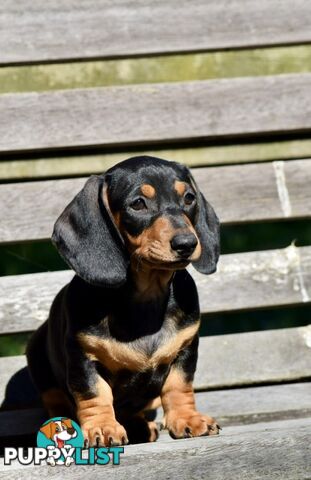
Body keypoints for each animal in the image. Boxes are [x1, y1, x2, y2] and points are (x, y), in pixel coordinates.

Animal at [27, 157, 222, 446]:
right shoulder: (83, 358)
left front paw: (188, 419)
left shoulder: (186, 348)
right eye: (138, 203)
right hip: (38, 360)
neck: (147, 296)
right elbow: (95, 394)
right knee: (56, 403)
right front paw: (102, 427)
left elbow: (179, 386)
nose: (187, 243)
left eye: (189, 198)